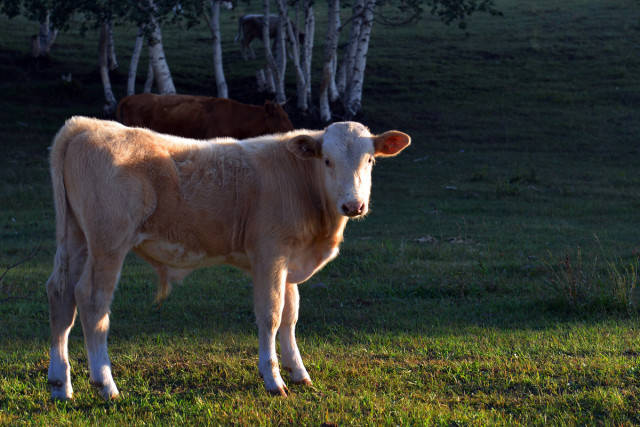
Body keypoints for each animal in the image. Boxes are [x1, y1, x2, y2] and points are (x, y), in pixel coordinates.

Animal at [46, 117, 410, 402]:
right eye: (327, 161)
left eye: (370, 160)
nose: (353, 205)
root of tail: (87, 125)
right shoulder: (270, 255)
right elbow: (271, 315)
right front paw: (273, 379)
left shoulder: (289, 261)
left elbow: (291, 315)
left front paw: (298, 371)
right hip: (108, 243)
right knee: (92, 302)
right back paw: (105, 384)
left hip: (76, 239)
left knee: (61, 296)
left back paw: (60, 384)